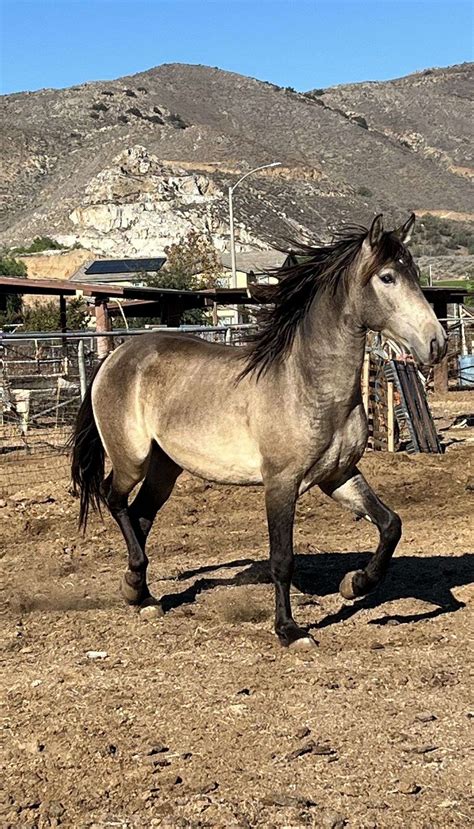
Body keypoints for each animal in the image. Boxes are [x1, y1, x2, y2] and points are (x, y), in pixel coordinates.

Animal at [71, 213, 448, 648]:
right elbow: (282, 558)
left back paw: (140, 593)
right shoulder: (281, 483)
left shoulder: (338, 476)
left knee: (140, 516)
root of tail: (116, 355)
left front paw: (354, 584)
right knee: (115, 500)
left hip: (165, 468)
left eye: (415, 273)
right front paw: (290, 631)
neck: (307, 384)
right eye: (387, 277)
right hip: (132, 459)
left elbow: (390, 525)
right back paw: (137, 584)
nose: (437, 343)